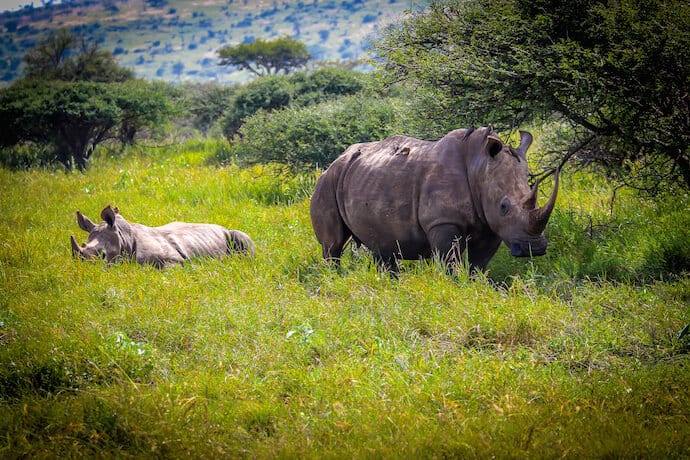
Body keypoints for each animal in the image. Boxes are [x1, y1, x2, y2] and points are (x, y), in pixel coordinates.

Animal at [70, 204, 254, 268]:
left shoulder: (175, 260)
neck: (124, 237)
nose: (84, 268)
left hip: (230, 233)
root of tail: (220, 226)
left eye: (102, 255)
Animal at [310, 126, 556, 274]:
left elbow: (478, 265)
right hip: (327, 182)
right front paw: (456, 287)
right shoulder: (443, 222)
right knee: (333, 245)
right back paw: (334, 279)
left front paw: (475, 286)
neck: (479, 166)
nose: (534, 249)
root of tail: (336, 160)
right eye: (504, 206)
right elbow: (450, 263)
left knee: (381, 245)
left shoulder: (491, 224)